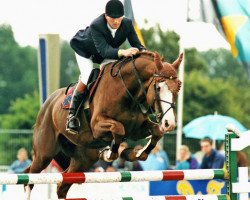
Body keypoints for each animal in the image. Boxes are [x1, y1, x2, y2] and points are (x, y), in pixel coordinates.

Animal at [24, 50, 183, 198]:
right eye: (158, 87)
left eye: (178, 88)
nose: (169, 123)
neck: (127, 91)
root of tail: (48, 102)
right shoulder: (98, 126)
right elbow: (118, 129)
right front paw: (110, 153)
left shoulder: (136, 129)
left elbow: (156, 132)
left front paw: (136, 153)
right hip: (44, 154)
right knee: (30, 176)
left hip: (83, 159)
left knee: (62, 185)